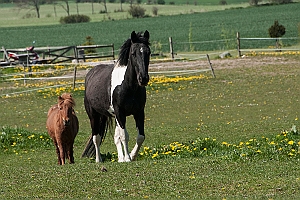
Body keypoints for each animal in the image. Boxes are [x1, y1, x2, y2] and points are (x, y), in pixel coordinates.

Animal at [82, 30, 150, 162]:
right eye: (133, 53)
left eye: (148, 52)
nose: (143, 78)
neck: (128, 87)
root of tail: (90, 74)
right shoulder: (120, 112)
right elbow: (124, 136)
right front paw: (128, 158)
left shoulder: (139, 112)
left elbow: (140, 136)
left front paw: (131, 156)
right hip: (94, 116)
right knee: (96, 137)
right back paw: (99, 159)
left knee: (115, 137)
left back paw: (120, 158)